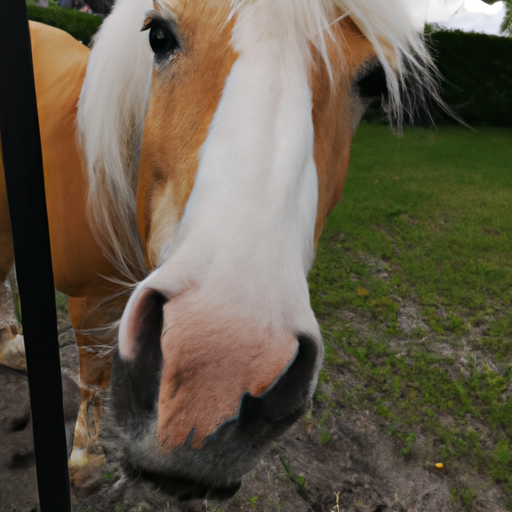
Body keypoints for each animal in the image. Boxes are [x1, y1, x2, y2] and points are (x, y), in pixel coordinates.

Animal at [0, 0, 440, 496]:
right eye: (158, 35)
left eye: (372, 80)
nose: (210, 387)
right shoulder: (89, 300)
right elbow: (94, 375)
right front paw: (83, 464)